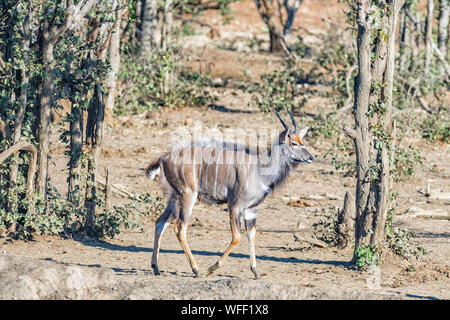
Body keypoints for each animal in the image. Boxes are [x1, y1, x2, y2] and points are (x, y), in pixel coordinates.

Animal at [146, 109, 314, 278]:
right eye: (294, 143)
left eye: (302, 141)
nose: (311, 157)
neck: (260, 169)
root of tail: (165, 157)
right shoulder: (234, 205)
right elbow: (237, 237)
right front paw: (212, 267)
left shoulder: (251, 209)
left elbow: (251, 235)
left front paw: (255, 271)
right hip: (187, 196)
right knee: (180, 228)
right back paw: (196, 269)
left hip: (175, 199)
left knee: (160, 223)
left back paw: (156, 267)